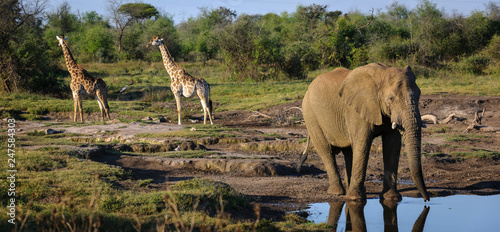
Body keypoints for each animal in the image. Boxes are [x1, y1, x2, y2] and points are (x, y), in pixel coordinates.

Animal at [298, 63, 432, 201]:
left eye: (419, 95)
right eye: (391, 98)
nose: (427, 199)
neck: (382, 74)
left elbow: (393, 145)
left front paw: (392, 198)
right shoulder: (356, 111)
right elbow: (362, 144)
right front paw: (354, 199)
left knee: (348, 152)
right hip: (310, 116)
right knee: (326, 151)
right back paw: (337, 193)